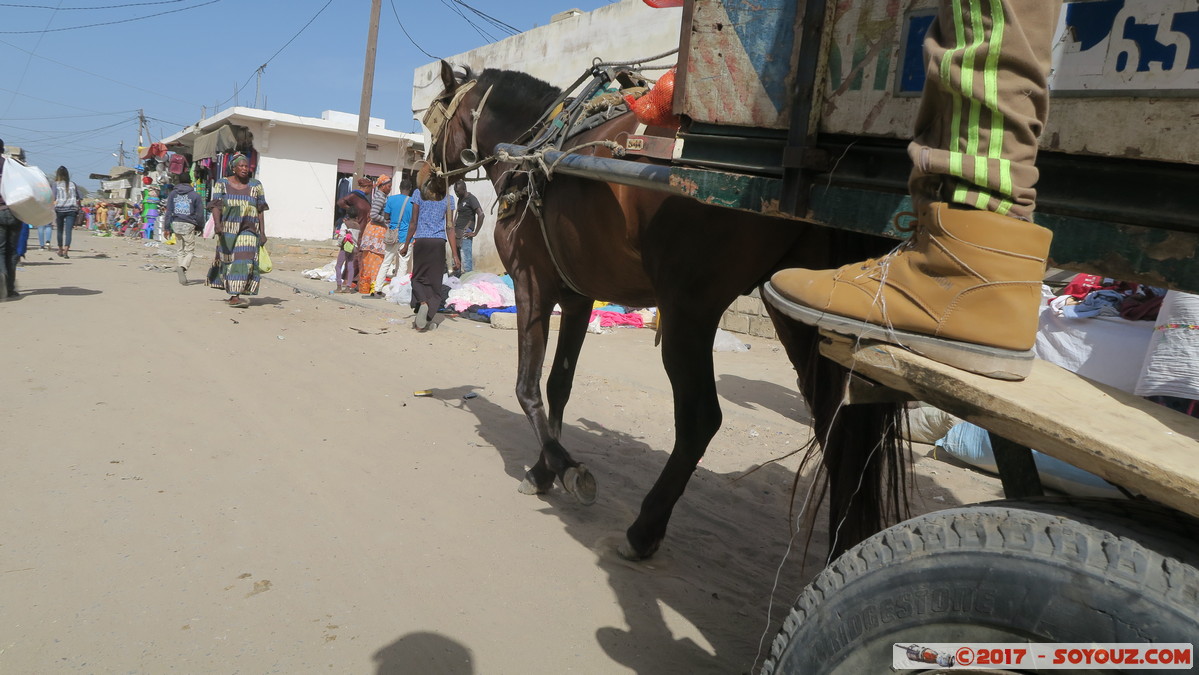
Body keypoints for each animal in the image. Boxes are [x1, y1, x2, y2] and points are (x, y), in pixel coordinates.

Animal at [422, 62, 906, 561]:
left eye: (432, 121)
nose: (423, 180)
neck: (533, 151)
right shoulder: (578, 297)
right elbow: (560, 385)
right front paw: (544, 470)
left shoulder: (531, 283)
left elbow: (527, 387)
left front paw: (566, 469)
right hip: (801, 311)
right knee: (840, 431)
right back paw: (843, 549)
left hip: (688, 309)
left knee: (702, 420)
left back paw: (644, 529)